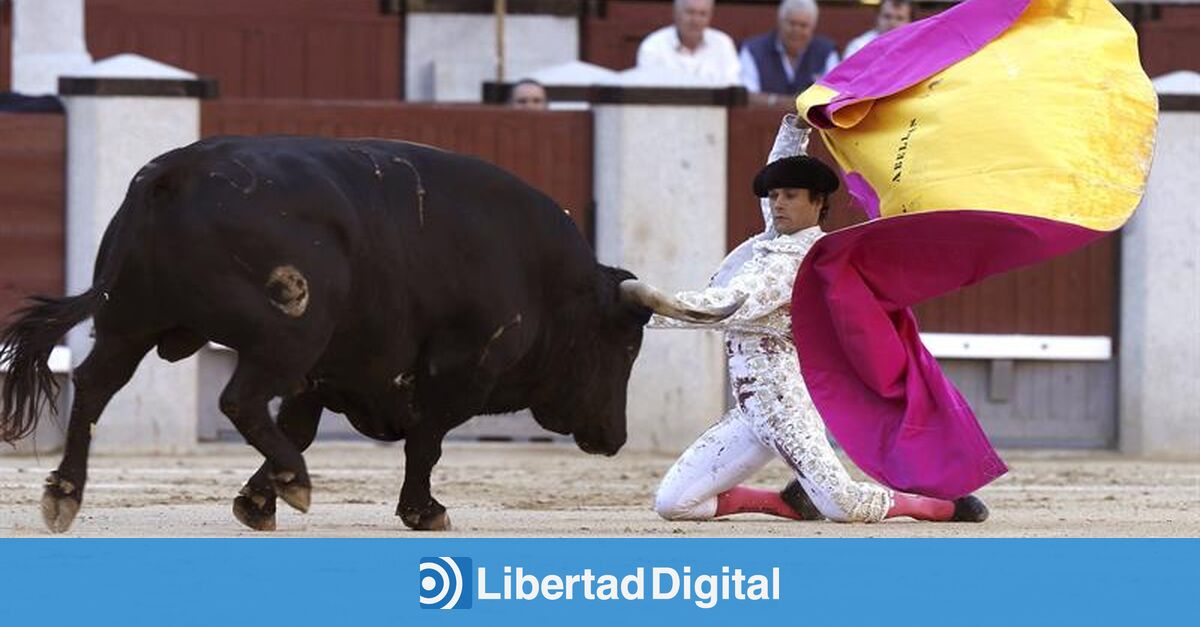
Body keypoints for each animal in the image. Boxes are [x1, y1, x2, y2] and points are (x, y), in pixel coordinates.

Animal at [0, 136, 739, 530]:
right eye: (625, 343)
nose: (613, 437)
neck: (539, 275)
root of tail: (172, 174)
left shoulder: (327, 372)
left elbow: (300, 424)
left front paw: (256, 501)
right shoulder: (456, 369)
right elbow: (427, 441)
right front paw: (422, 510)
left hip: (129, 321)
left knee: (95, 387)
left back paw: (63, 494)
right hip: (287, 328)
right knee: (237, 399)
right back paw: (297, 481)